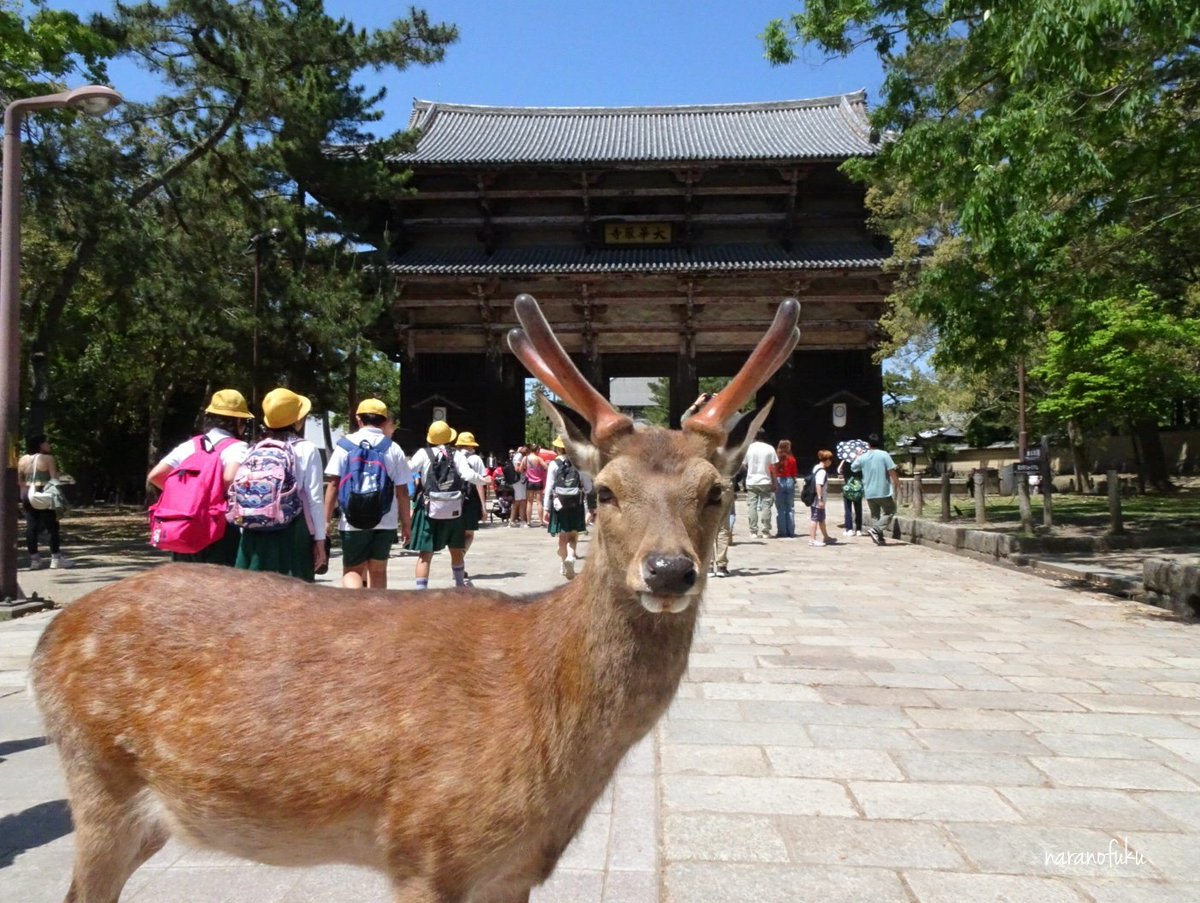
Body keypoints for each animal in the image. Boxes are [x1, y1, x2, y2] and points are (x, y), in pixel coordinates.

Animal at [30, 292, 796, 898]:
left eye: (716, 490)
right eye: (605, 491)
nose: (667, 571)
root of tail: (48, 638)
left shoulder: (515, 871)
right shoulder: (427, 847)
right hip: (99, 783)